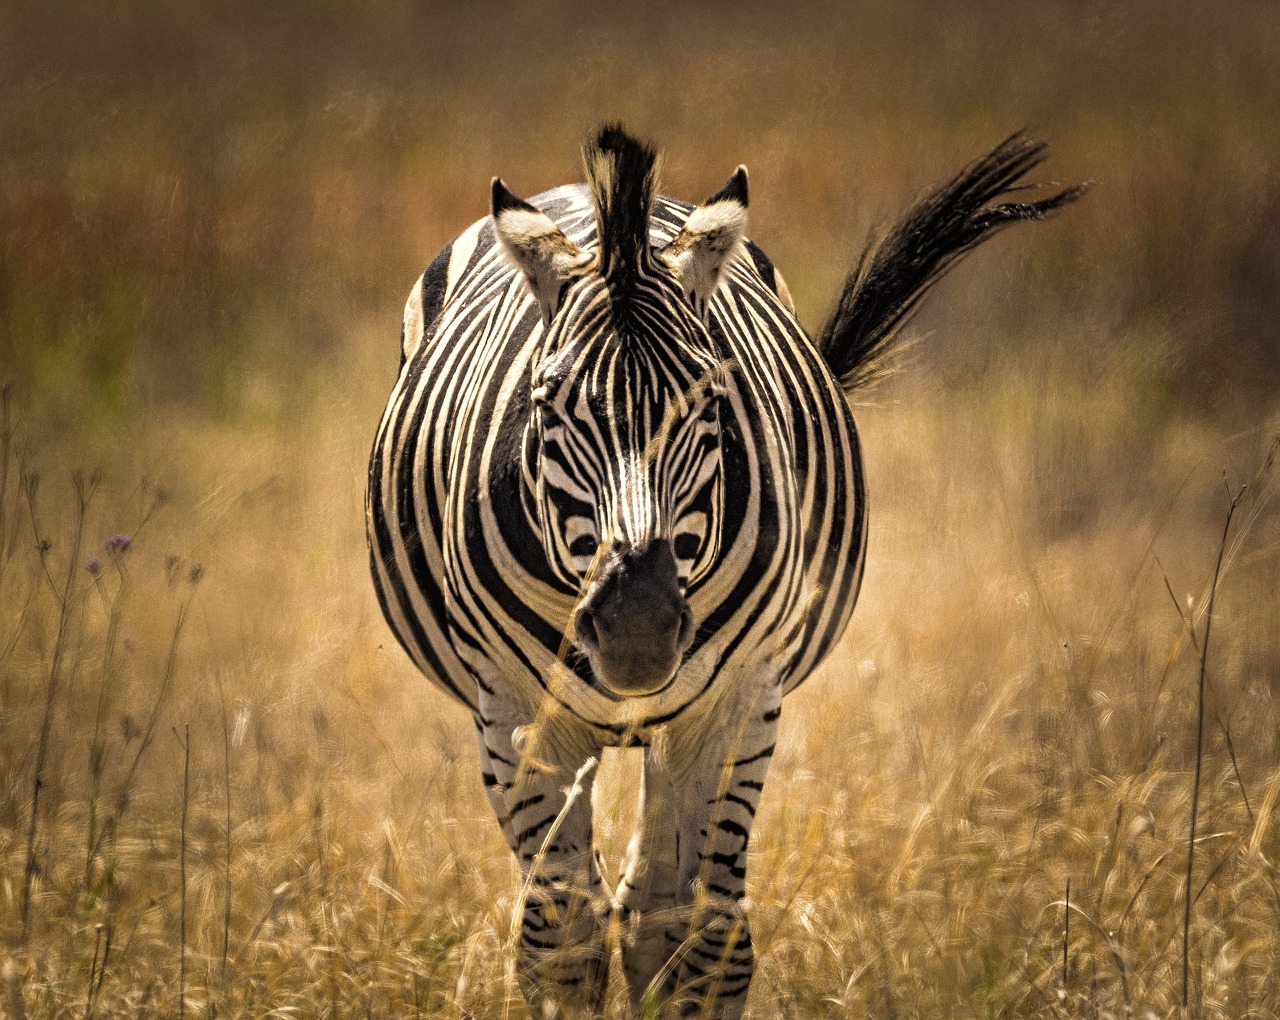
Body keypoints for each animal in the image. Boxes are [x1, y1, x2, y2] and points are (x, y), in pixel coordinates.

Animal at [368, 123, 1080, 1013]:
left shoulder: (739, 702)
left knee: (653, 910)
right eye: (546, 404)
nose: (636, 631)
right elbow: (560, 945)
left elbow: (705, 940)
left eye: (709, 400)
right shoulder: (513, 712)